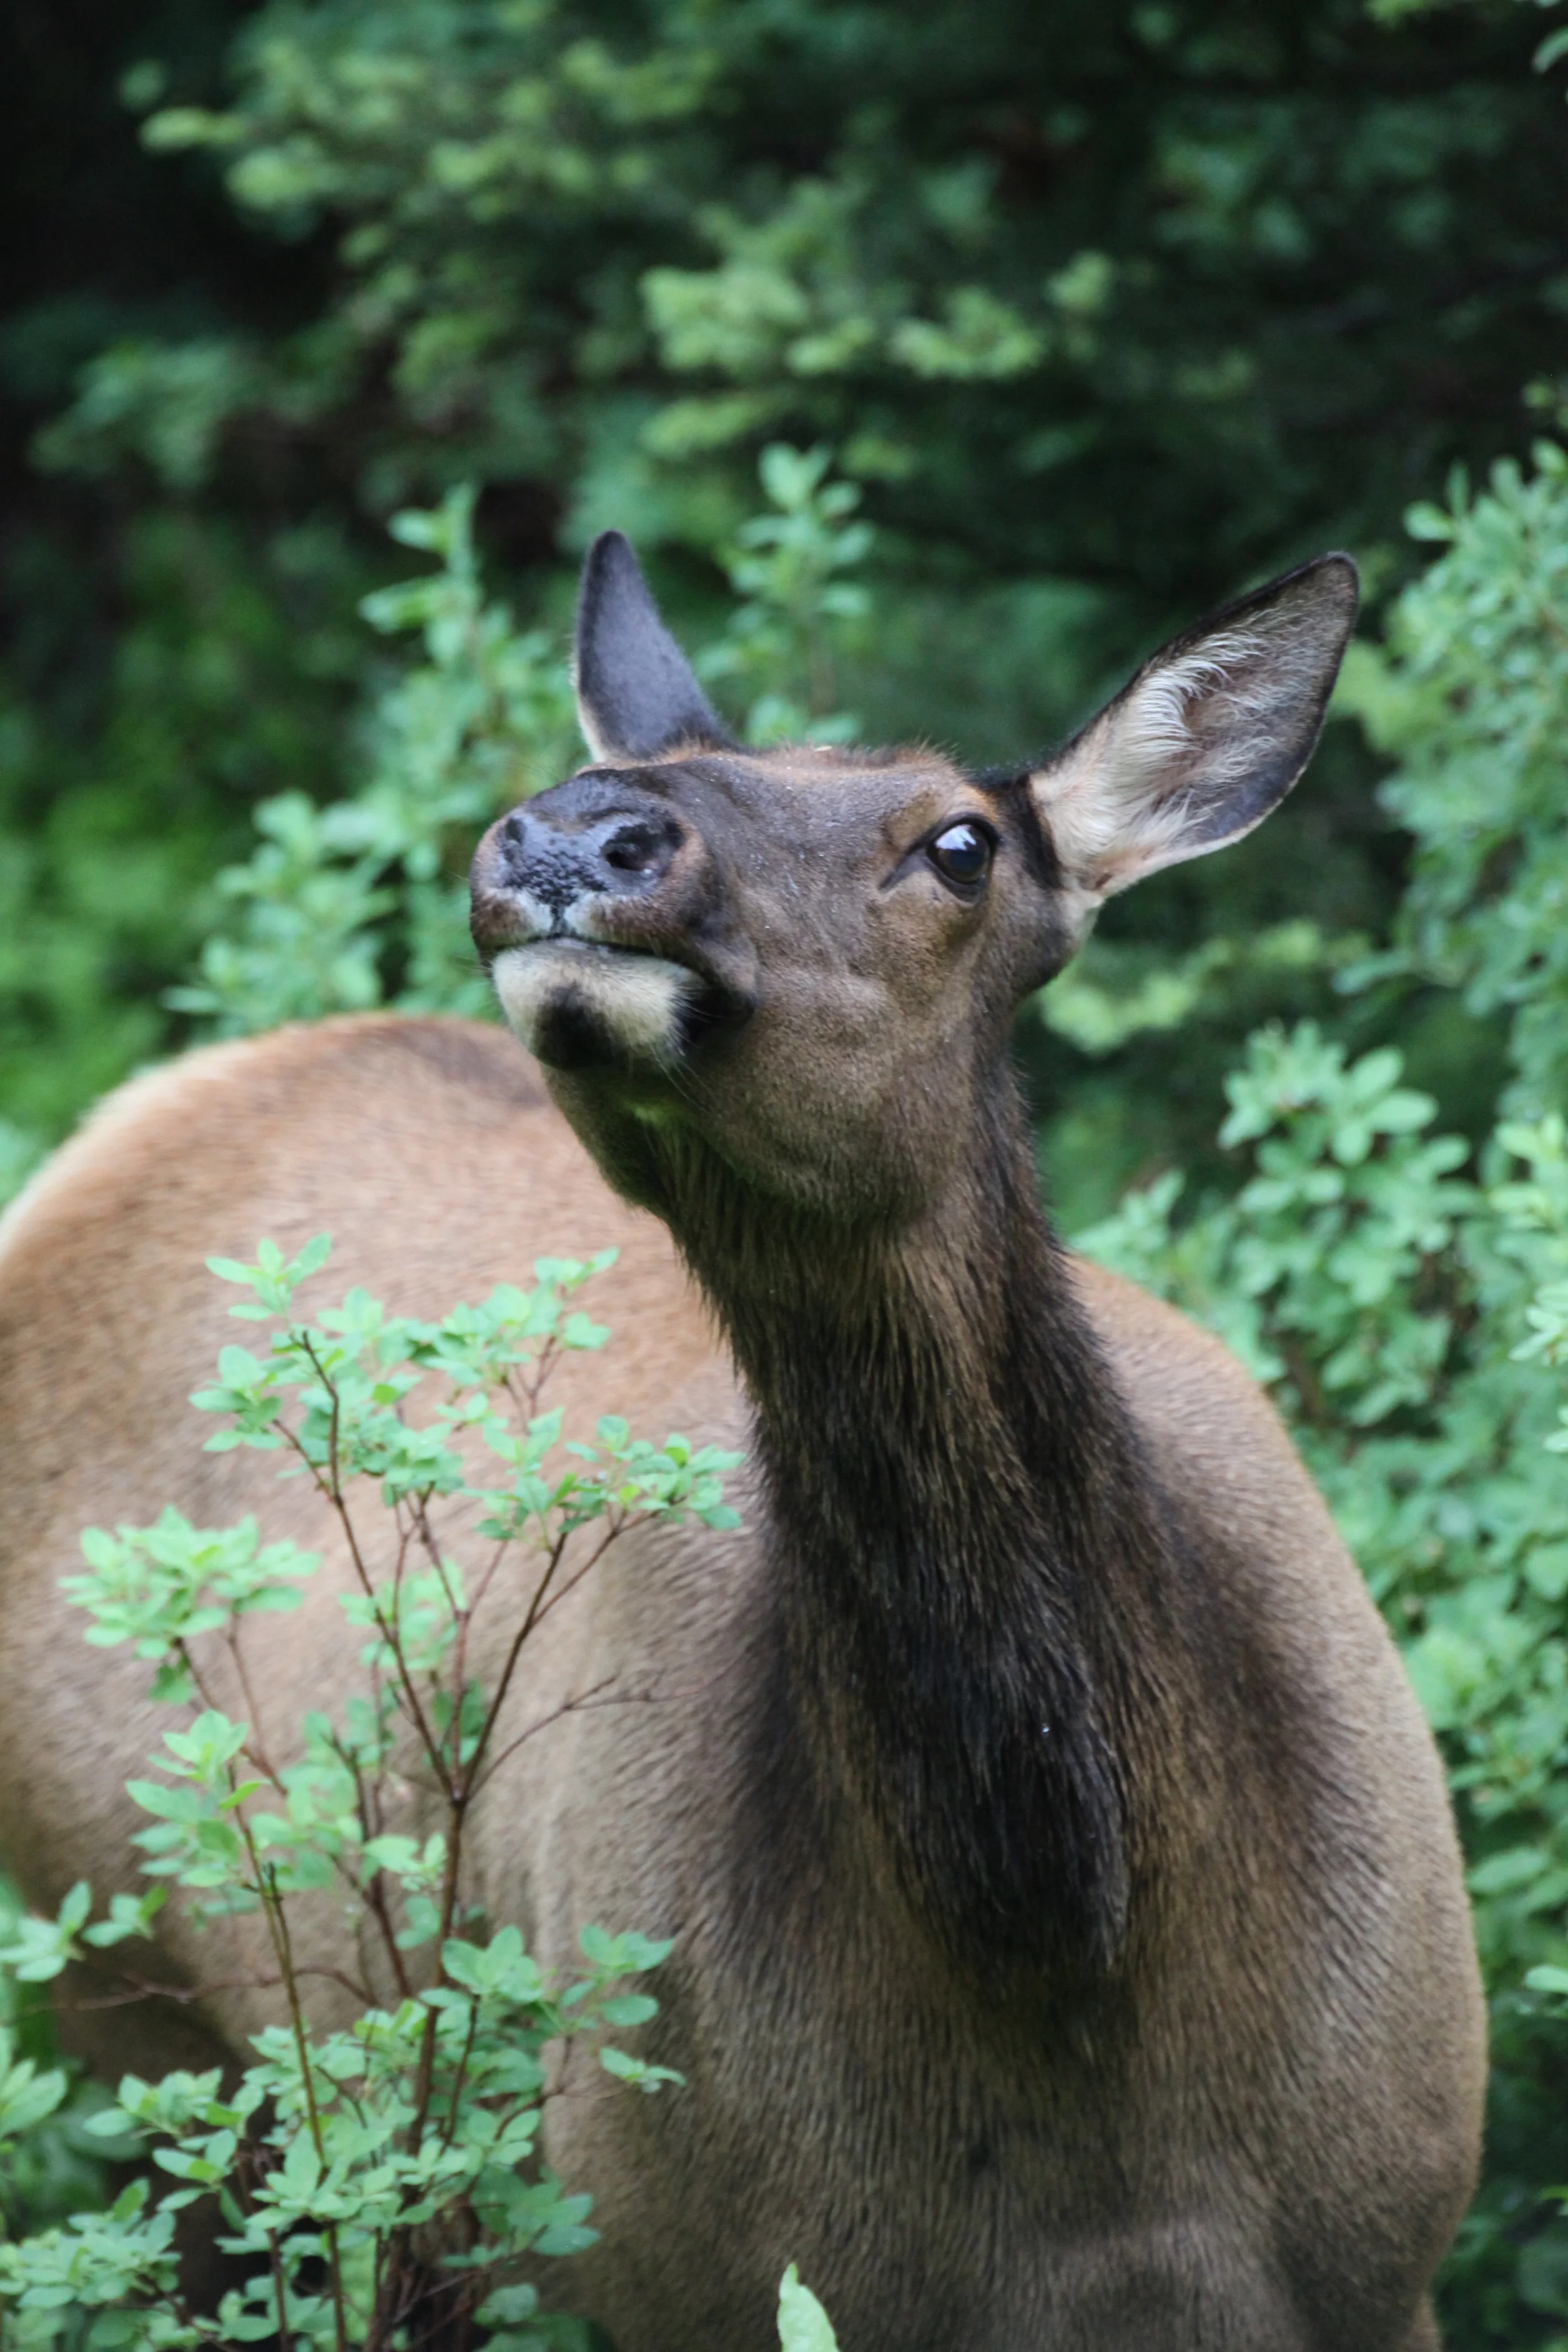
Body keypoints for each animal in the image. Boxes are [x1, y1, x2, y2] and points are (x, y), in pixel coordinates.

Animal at [0, 531, 1484, 2351]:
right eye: (627, 781)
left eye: (961, 840)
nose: (571, 832)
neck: (1079, 1998)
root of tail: (115, 1131)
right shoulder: (686, 2265)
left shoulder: (1389, 2246)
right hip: (150, 2018)